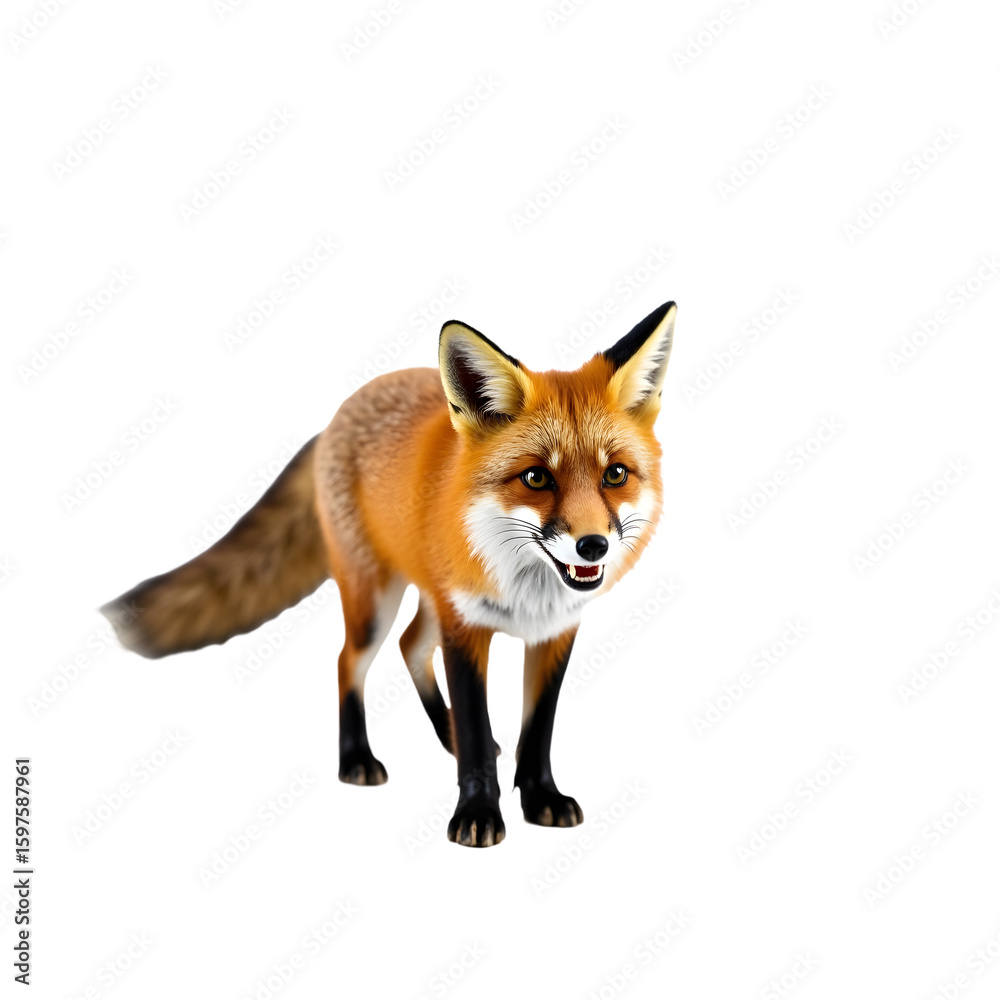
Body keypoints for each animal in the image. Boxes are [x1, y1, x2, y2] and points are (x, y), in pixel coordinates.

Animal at [101, 300, 676, 847]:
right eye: (536, 478)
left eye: (615, 475)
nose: (593, 546)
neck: (527, 593)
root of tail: (336, 417)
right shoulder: (466, 627)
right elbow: (475, 724)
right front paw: (477, 814)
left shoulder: (555, 633)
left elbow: (536, 732)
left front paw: (541, 798)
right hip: (374, 600)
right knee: (348, 661)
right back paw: (357, 759)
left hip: (426, 599)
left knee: (410, 646)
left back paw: (444, 735)